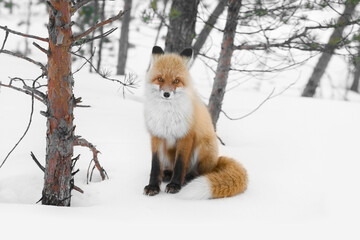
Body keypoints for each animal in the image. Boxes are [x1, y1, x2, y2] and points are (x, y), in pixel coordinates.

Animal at [143, 46, 248, 200]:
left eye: (176, 81)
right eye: (160, 79)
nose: (166, 94)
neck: (167, 115)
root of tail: (216, 161)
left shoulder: (186, 135)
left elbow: (180, 164)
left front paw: (175, 185)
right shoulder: (156, 135)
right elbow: (155, 165)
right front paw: (153, 186)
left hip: (203, 146)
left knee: (200, 172)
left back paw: (187, 179)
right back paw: (167, 174)